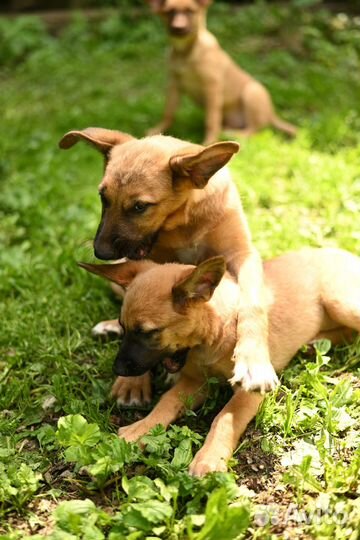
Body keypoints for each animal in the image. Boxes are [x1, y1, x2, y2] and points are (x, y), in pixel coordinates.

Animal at [59, 127, 278, 404]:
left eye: (140, 206)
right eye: (103, 197)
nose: (100, 252)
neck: (184, 222)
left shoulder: (242, 255)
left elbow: (252, 305)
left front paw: (253, 363)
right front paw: (132, 382)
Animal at [81, 247, 360, 474]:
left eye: (149, 332)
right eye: (125, 327)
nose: (117, 369)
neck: (213, 336)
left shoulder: (250, 391)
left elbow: (224, 418)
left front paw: (210, 458)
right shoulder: (195, 382)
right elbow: (166, 401)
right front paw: (142, 428)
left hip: (340, 303)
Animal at [145, 0, 296, 144]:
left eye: (191, 11)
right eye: (169, 12)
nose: (178, 28)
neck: (185, 53)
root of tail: (272, 114)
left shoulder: (212, 87)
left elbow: (211, 120)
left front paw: (209, 142)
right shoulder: (174, 85)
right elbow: (168, 112)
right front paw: (157, 131)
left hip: (252, 91)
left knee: (255, 130)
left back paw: (232, 134)